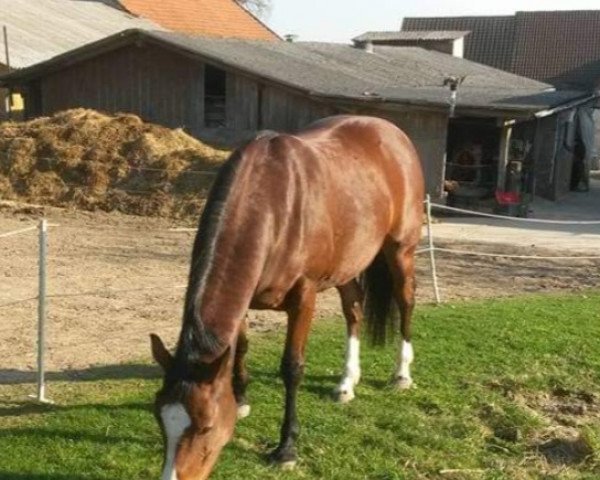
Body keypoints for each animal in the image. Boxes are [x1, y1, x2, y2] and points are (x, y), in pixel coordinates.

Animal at [149, 114, 422, 478]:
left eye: (205, 426)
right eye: (160, 417)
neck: (273, 206)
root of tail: (391, 131)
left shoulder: (304, 297)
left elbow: (292, 367)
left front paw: (286, 448)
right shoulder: (245, 300)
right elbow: (240, 348)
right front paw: (241, 399)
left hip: (401, 250)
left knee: (406, 302)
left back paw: (401, 374)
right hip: (347, 264)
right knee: (354, 311)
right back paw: (346, 382)